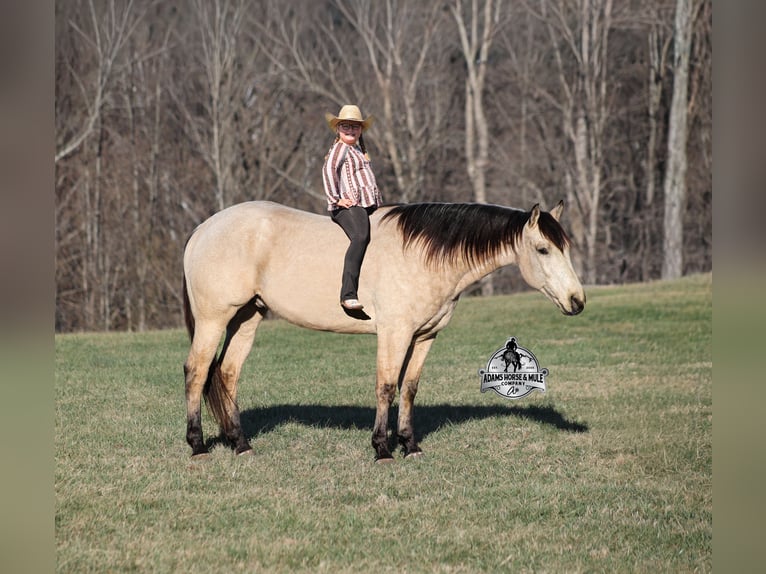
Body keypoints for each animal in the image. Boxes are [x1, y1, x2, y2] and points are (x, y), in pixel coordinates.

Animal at [182, 200, 585, 462]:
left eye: (566, 246)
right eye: (543, 249)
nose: (577, 301)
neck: (423, 255)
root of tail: (203, 229)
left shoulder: (424, 336)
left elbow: (409, 388)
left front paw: (410, 445)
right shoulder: (394, 333)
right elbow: (387, 386)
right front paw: (382, 449)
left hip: (247, 316)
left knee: (227, 374)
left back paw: (241, 444)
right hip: (214, 318)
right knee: (197, 372)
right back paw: (198, 446)